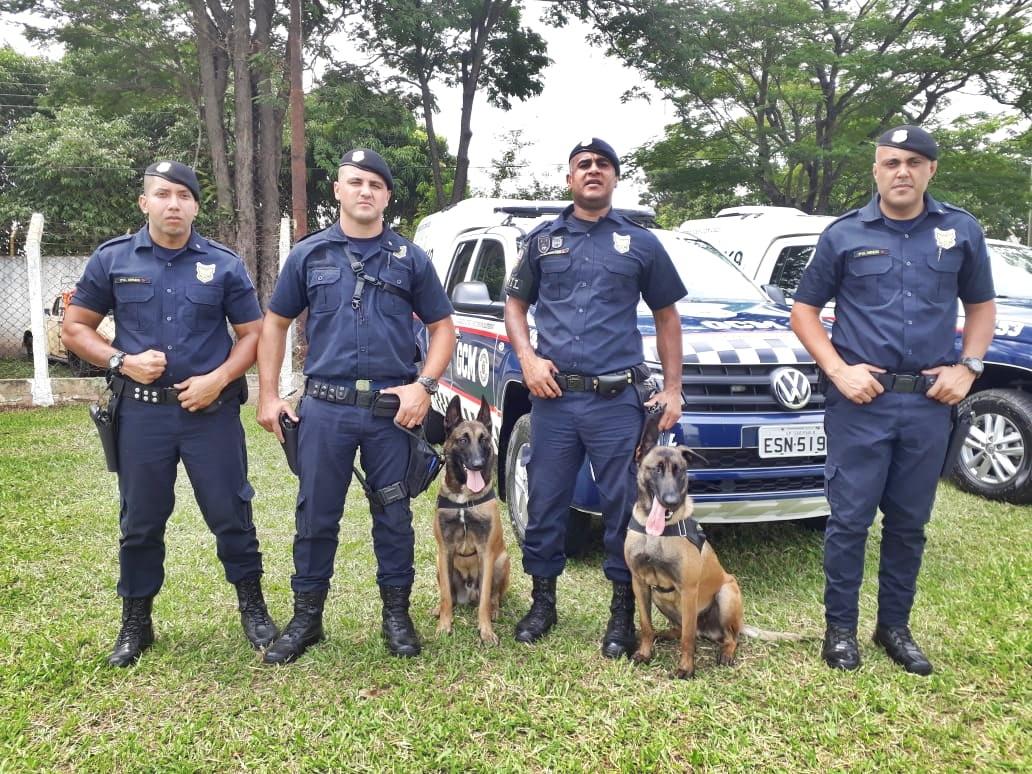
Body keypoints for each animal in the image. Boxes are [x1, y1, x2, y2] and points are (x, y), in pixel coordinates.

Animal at [433, 396, 509, 643]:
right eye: (463, 440)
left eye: (484, 439)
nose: (477, 464)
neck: (463, 500)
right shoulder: (445, 550)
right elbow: (446, 596)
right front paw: (444, 625)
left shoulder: (486, 552)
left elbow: (485, 598)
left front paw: (486, 631)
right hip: (439, 564)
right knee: (450, 594)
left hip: (502, 560)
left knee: (493, 596)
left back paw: (494, 610)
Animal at [623, 418, 800, 676]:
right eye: (657, 469)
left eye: (680, 471)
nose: (672, 501)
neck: (657, 534)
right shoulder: (639, 583)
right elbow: (646, 625)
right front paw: (645, 653)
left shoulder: (688, 590)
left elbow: (688, 638)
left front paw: (686, 669)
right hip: (659, 597)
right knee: (681, 629)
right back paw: (663, 634)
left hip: (726, 595)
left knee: (727, 637)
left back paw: (726, 653)